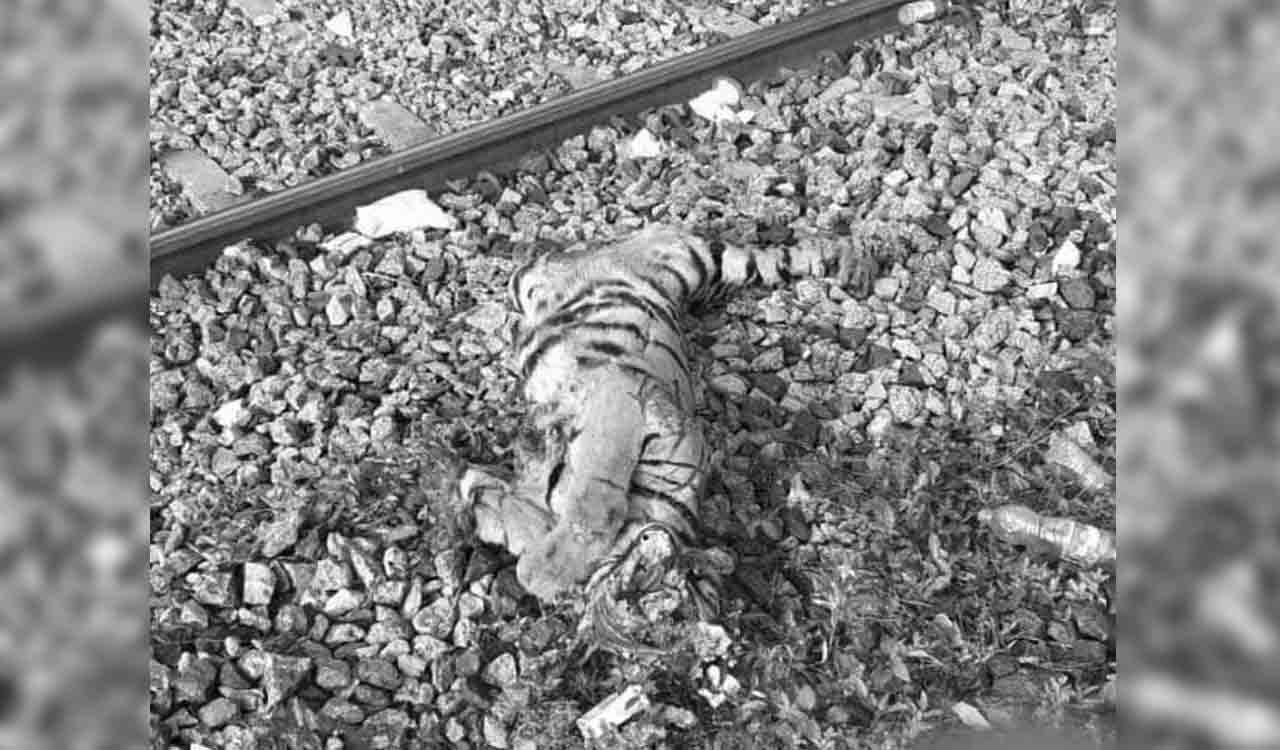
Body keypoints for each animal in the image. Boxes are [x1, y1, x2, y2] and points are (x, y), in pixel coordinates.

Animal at [456, 224, 826, 627]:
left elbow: (517, 503)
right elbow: (596, 502)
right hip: (698, 260)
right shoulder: (623, 406)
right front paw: (540, 570)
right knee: (766, 258)